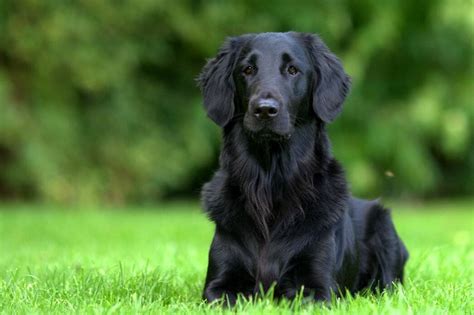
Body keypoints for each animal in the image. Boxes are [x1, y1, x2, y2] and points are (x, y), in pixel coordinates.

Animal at [196, 31, 408, 304]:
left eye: (293, 70)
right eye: (248, 69)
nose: (264, 110)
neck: (270, 182)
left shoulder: (319, 288)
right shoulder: (218, 285)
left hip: (385, 231)